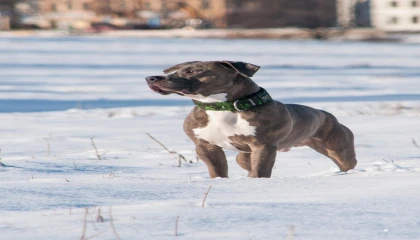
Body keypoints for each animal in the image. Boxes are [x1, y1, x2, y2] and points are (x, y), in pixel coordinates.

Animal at [146, 61, 356, 178]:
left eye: (193, 71)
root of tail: (326, 114)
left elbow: (260, 171)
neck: (222, 106)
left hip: (339, 150)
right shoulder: (205, 146)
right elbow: (217, 170)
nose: (152, 78)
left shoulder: (263, 146)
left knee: (347, 164)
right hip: (242, 156)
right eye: (174, 71)